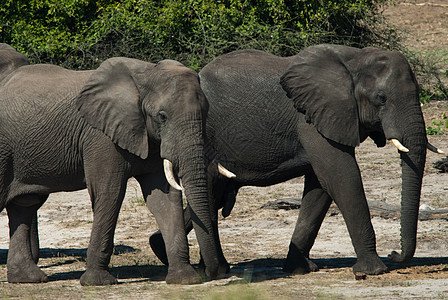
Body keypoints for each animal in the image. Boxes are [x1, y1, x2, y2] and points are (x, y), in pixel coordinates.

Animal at [0, 46, 228, 286]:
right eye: (162, 117)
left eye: (206, 113)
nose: (212, 272)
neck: (146, 75)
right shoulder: (100, 136)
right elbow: (110, 193)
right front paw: (97, 282)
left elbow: (164, 199)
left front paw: (185, 279)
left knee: (24, 205)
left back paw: (28, 278)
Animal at [150, 45, 444, 278]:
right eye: (381, 99)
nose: (394, 253)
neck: (354, 59)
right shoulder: (311, 120)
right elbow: (340, 175)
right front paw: (372, 271)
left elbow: (320, 186)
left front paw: (300, 269)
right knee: (210, 194)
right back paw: (214, 269)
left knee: (214, 194)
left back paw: (162, 249)